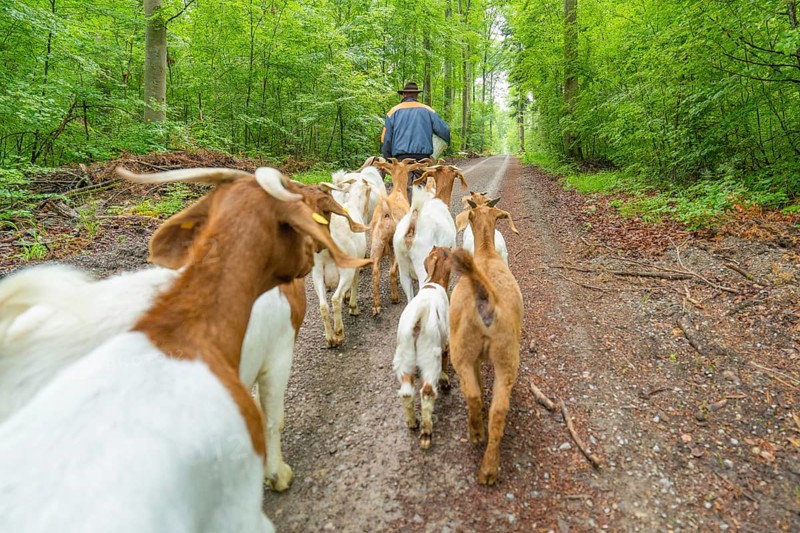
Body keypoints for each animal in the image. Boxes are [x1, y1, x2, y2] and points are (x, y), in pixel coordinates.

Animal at [310, 178, 371, 347]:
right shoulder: (356, 266)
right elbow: (355, 283)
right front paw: (353, 307)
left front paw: (347, 297)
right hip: (346, 269)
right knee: (335, 299)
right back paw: (339, 333)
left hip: (317, 272)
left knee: (323, 305)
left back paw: (330, 338)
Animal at [368, 157, 430, 316]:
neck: (398, 192)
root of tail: (386, 216)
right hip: (393, 248)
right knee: (392, 271)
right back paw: (395, 297)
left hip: (376, 246)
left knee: (375, 271)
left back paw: (376, 306)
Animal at [393, 247, 452, 449]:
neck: (434, 283)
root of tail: (420, 315)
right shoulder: (445, 341)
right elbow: (446, 360)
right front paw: (445, 381)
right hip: (430, 355)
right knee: (426, 392)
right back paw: (426, 434)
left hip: (404, 356)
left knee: (406, 392)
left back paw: (413, 422)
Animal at [449, 205, 521, 486]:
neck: (487, 254)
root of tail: (486, 298)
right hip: (505, 358)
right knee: (497, 409)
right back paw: (489, 467)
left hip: (463, 352)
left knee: (474, 395)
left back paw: (477, 436)